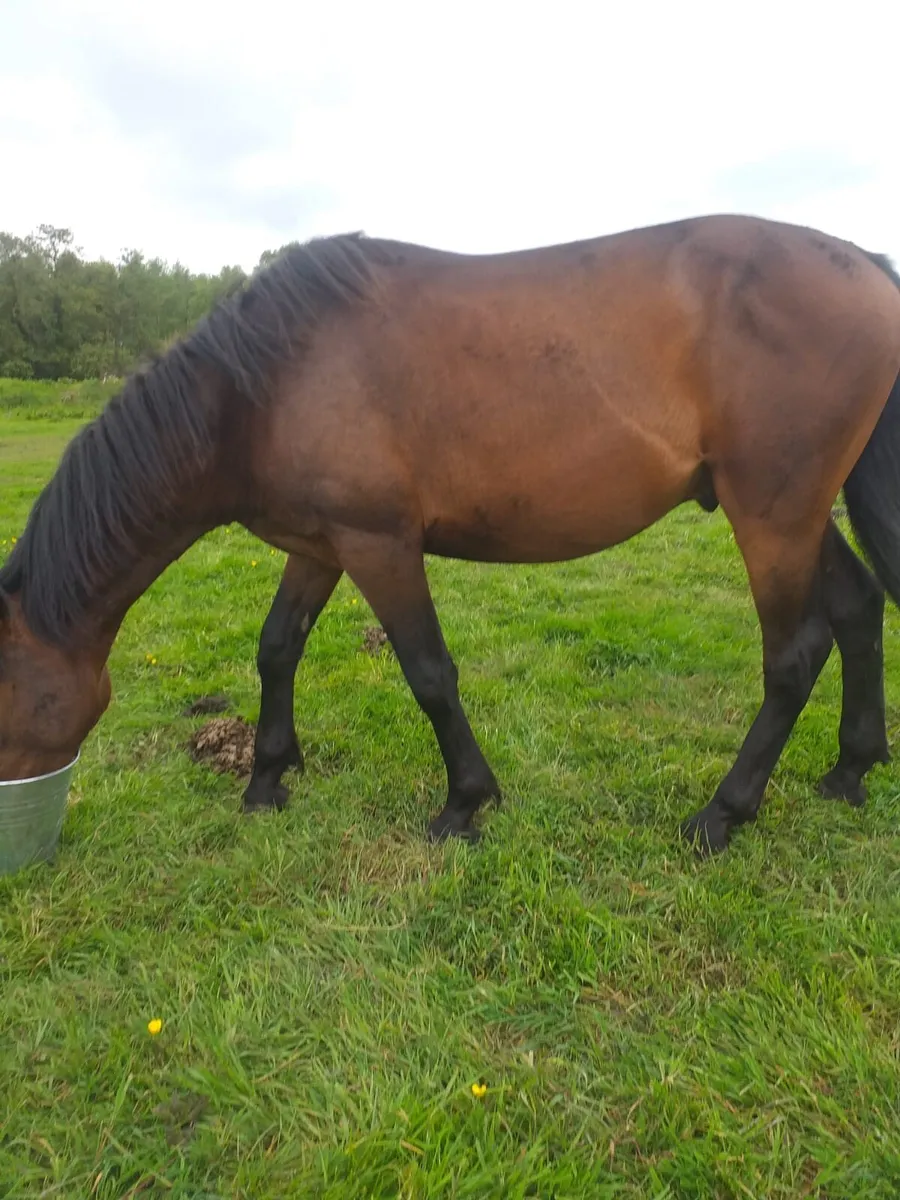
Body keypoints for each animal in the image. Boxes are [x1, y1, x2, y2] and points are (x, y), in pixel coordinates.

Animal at [2, 213, 900, 857]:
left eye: (14, 697)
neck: (265, 384)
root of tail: (864, 263)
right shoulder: (320, 544)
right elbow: (277, 648)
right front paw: (267, 780)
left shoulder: (379, 544)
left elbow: (429, 672)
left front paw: (465, 804)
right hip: (789, 511)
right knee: (858, 608)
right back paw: (850, 769)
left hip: (773, 513)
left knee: (794, 655)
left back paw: (721, 815)